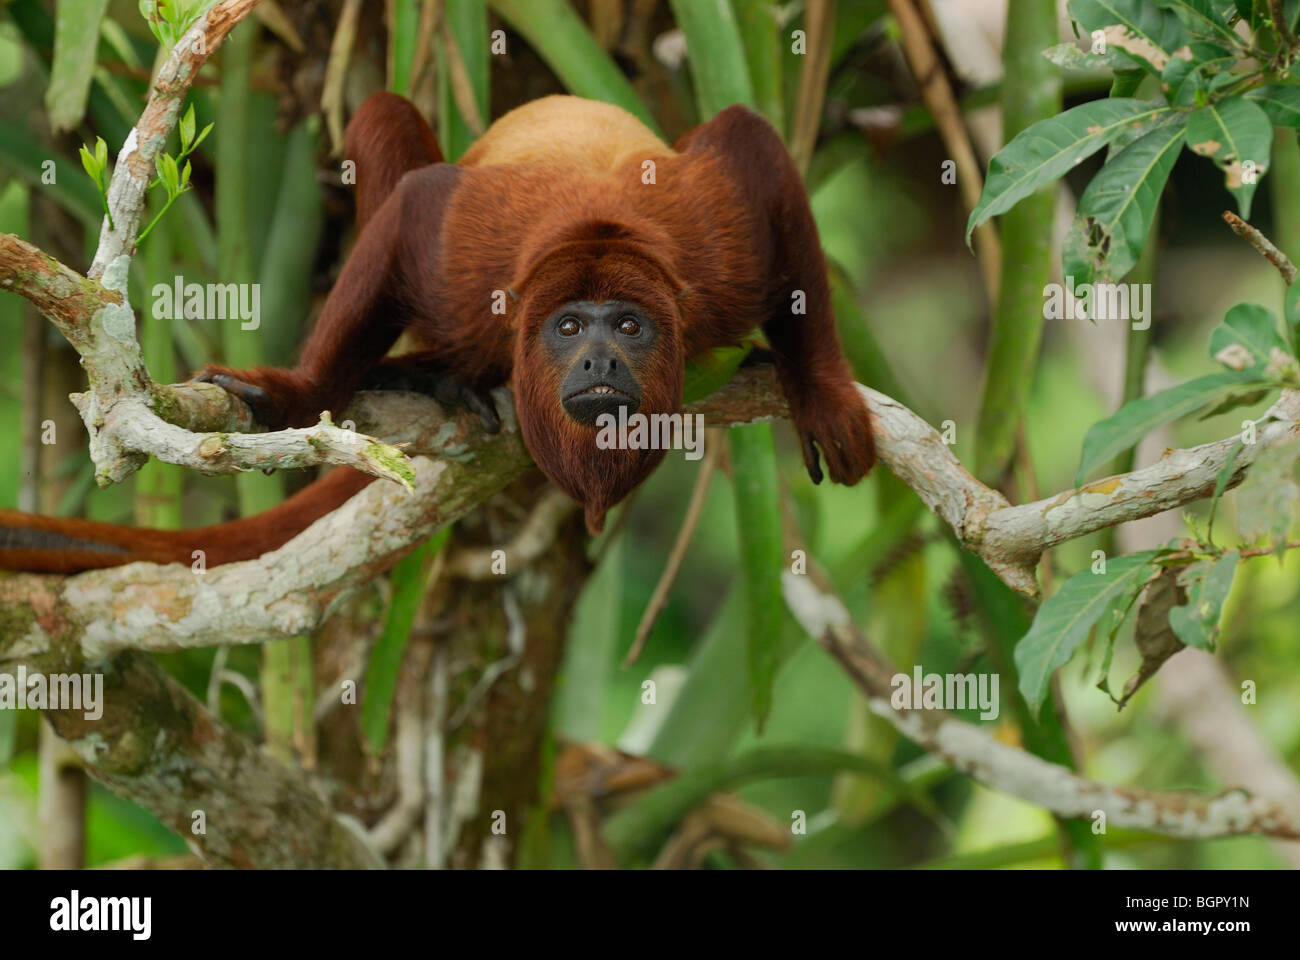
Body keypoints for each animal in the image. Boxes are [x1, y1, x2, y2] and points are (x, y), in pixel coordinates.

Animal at [2, 91, 873, 567]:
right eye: (568, 327)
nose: (598, 361)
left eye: (628, 325)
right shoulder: (468, 266)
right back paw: (431, 373)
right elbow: (415, 206)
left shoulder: (715, 258)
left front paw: (824, 393)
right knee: (381, 120)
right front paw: (296, 392)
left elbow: (752, 147)